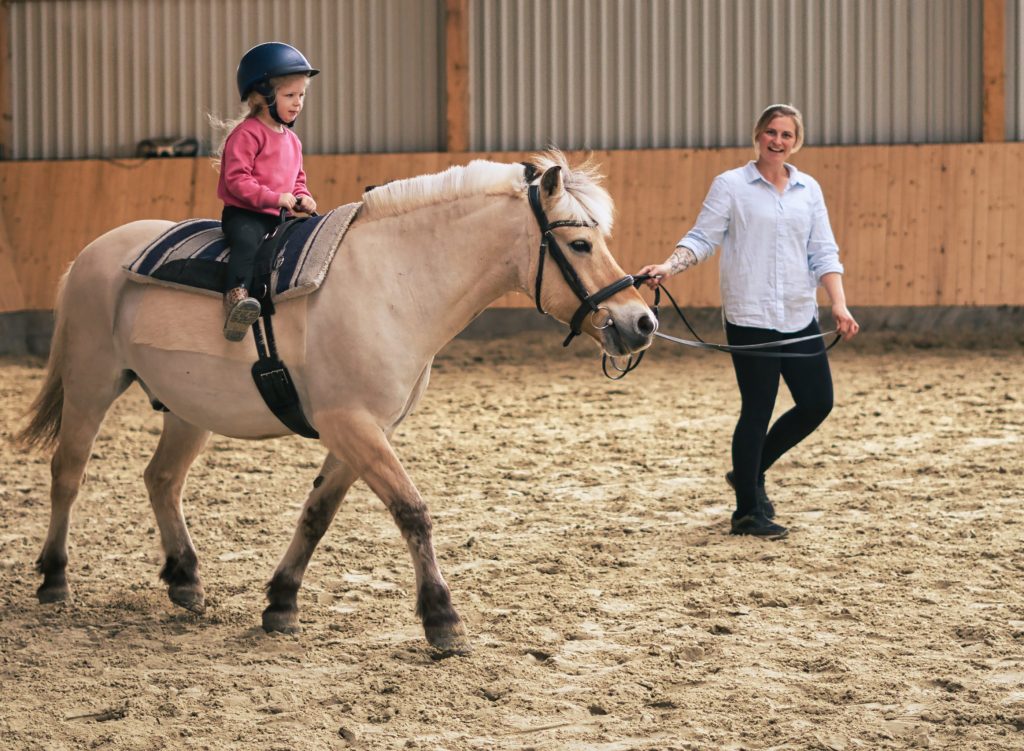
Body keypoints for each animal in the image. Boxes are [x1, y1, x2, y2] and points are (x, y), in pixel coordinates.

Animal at [16, 149, 655, 651]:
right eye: (580, 242)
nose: (640, 321)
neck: (393, 282)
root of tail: (94, 253)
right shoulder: (352, 424)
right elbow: (411, 510)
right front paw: (442, 618)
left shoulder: (366, 430)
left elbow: (318, 512)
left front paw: (281, 602)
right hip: (92, 384)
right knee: (68, 472)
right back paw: (54, 578)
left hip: (187, 410)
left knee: (162, 479)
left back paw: (185, 578)